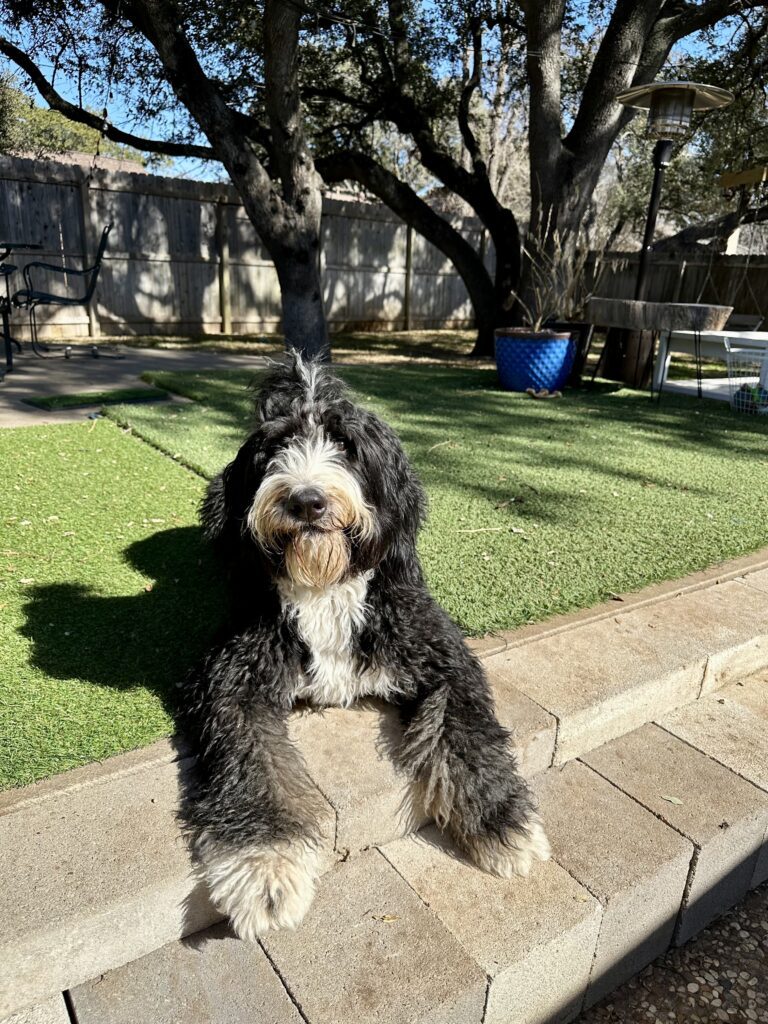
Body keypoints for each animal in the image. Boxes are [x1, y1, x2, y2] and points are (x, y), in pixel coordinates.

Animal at [179, 356, 552, 937]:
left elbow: (468, 731)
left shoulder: (440, 651)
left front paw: (501, 820)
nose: (305, 500)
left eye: (347, 446)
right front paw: (265, 865)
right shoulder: (231, 677)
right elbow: (249, 758)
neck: (326, 587)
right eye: (275, 448)